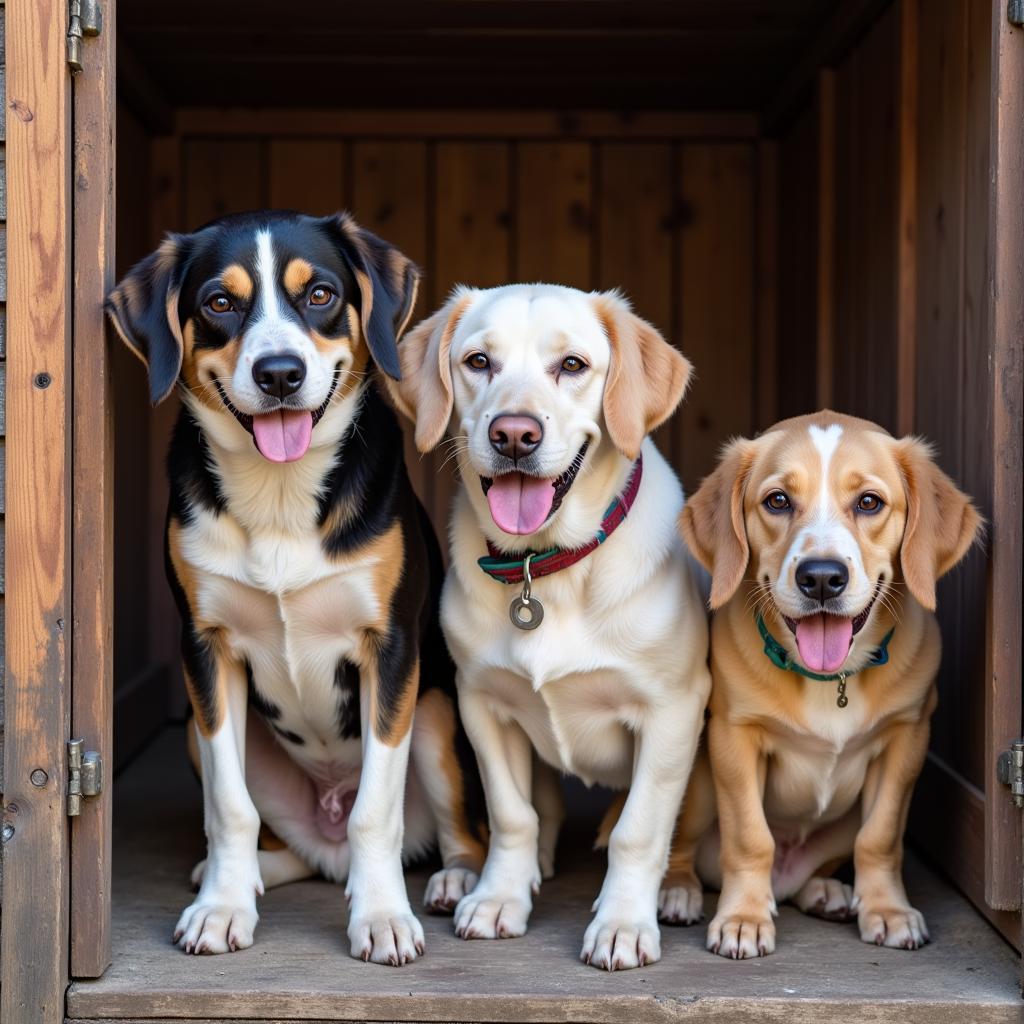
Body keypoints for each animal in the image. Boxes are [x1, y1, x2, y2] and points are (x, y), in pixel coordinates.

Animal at [105, 211, 485, 962]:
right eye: (220, 302)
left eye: (320, 295)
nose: (279, 372)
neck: (279, 491)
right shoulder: (206, 651)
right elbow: (229, 808)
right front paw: (221, 906)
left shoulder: (391, 651)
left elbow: (376, 810)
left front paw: (382, 916)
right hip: (198, 733)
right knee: (291, 847)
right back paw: (246, 873)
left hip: (433, 717)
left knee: (458, 834)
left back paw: (453, 879)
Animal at [385, 284, 712, 970]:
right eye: (479, 361)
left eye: (573, 365)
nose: (514, 434)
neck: (547, 565)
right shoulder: (481, 703)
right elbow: (514, 815)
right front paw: (499, 897)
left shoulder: (673, 710)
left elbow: (639, 830)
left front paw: (623, 922)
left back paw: (676, 890)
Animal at [671, 409, 983, 958]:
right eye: (777, 501)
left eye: (869, 502)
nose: (820, 577)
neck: (827, 679)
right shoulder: (734, 737)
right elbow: (749, 837)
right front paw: (743, 918)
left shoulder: (907, 738)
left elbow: (879, 838)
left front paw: (886, 910)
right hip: (701, 783)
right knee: (681, 845)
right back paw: (678, 892)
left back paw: (824, 891)